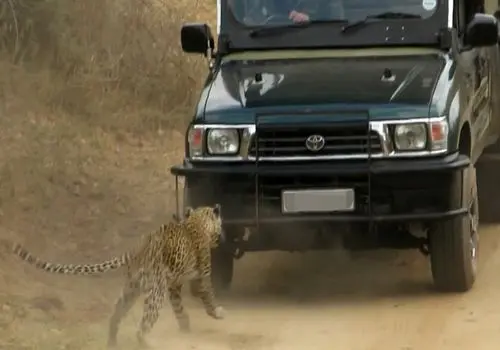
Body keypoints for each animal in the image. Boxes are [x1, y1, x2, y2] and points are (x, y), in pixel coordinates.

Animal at [0, 204, 227, 348]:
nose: (221, 237)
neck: (198, 221)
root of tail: (141, 245)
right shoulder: (202, 275)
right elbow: (208, 296)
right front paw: (217, 313)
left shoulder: (174, 286)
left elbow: (179, 308)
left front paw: (185, 327)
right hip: (155, 291)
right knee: (143, 325)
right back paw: (146, 343)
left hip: (132, 288)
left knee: (116, 315)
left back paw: (111, 342)